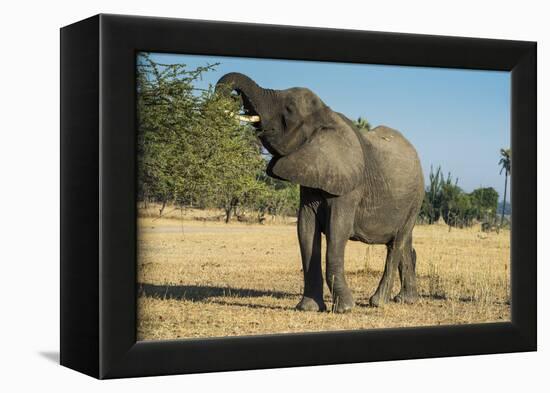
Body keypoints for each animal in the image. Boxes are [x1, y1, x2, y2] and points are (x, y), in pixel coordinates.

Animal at [216, 72, 426, 312]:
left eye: (289, 110)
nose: (234, 99)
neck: (327, 115)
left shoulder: (349, 188)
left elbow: (337, 231)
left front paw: (345, 309)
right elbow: (305, 230)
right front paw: (308, 308)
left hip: (416, 199)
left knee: (396, 243)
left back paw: (378, 302)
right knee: (405, 243)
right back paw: (406, 299)